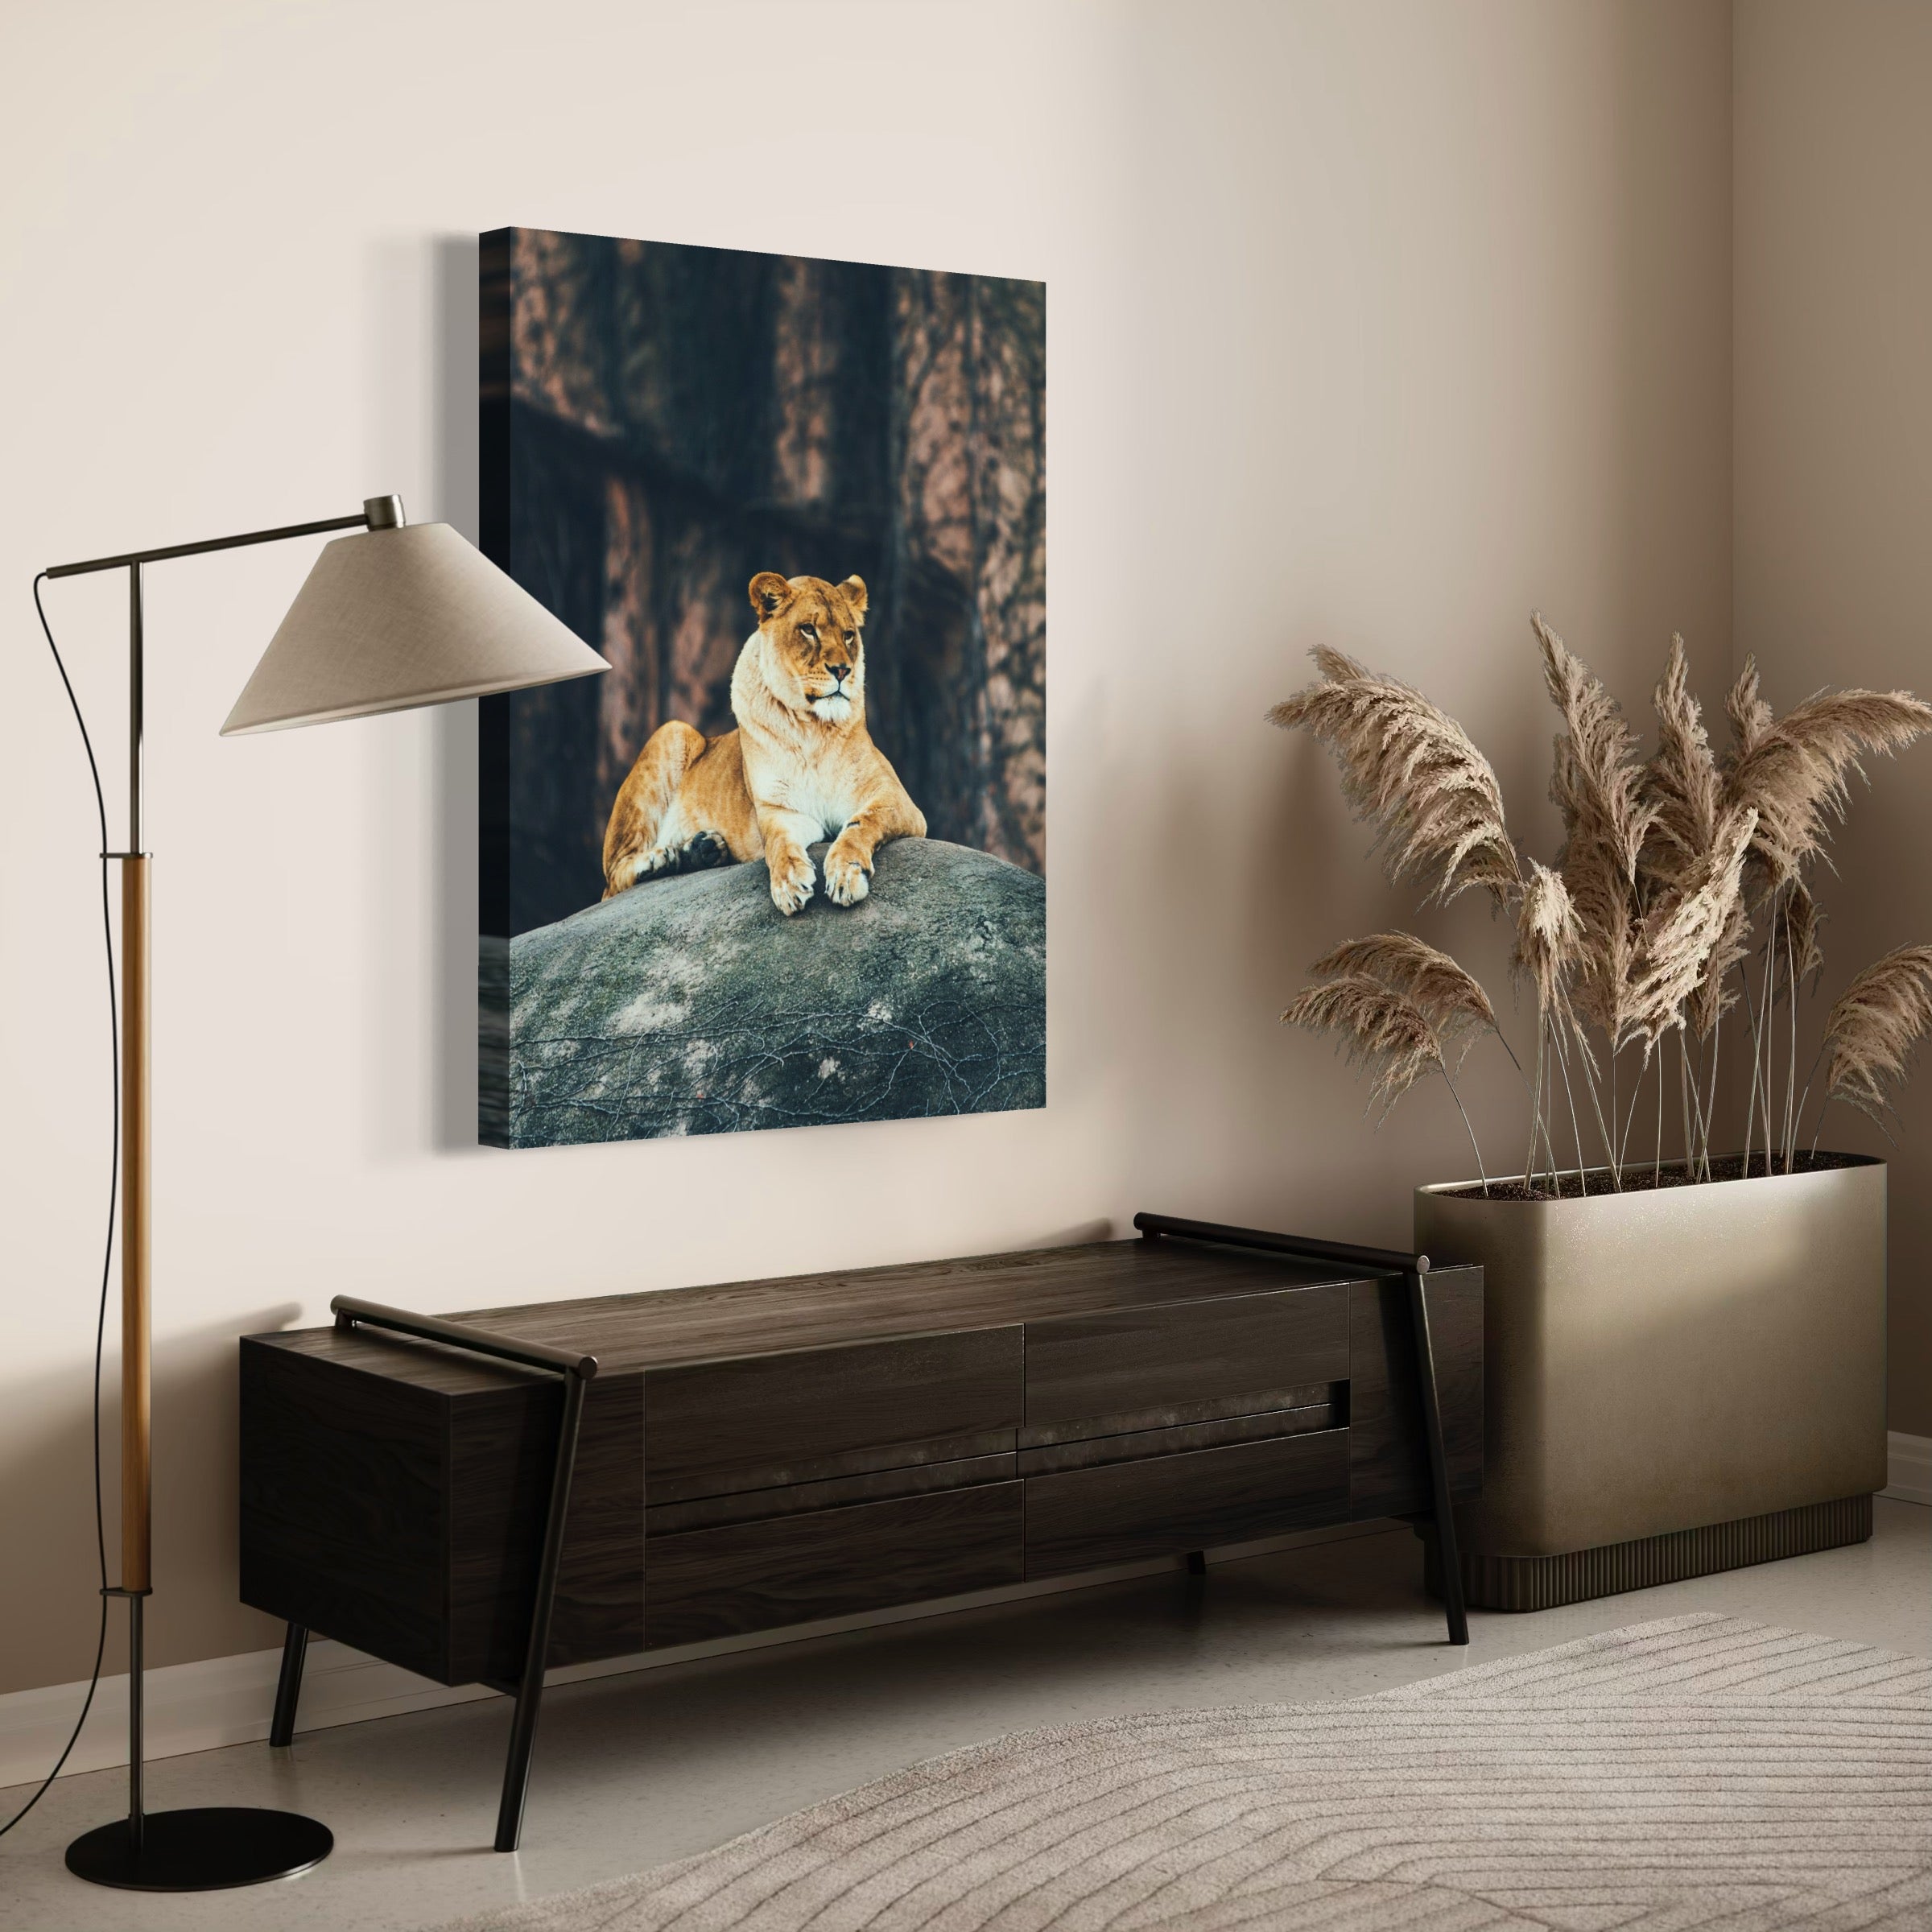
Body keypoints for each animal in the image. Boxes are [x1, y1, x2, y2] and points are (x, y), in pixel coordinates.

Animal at [601, 571, 927, 916]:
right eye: (808, 629)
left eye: (849, 635)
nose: (842, 670)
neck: (813, 730)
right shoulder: (779, 810)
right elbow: (778, 844)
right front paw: (789, 883)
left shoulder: (897, 800)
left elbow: (862, 824)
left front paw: (845, 874)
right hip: (672, 730)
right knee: (614, 880)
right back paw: (661, 858)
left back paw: (702, 850)